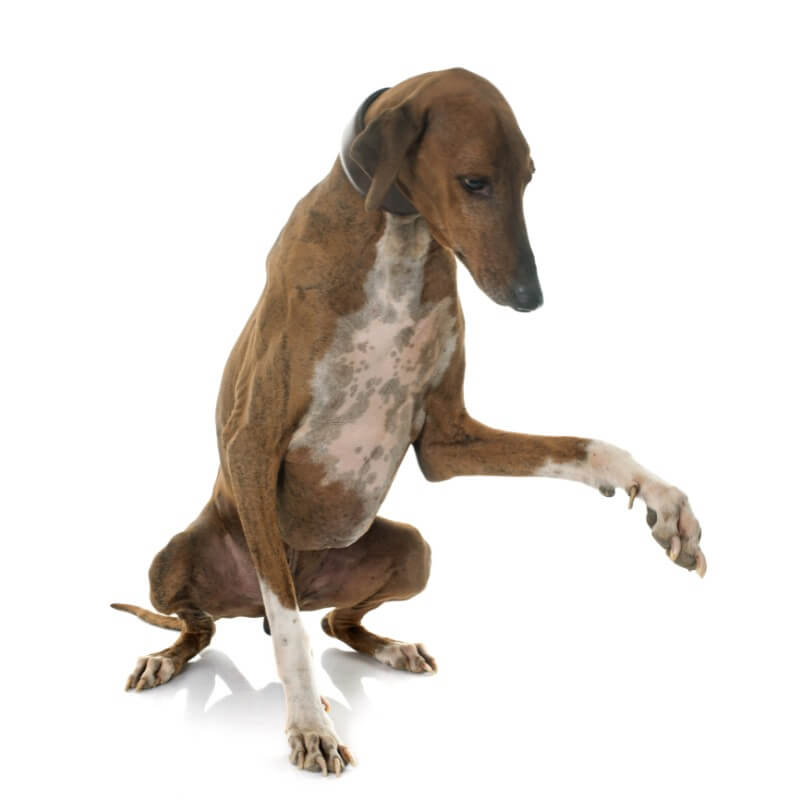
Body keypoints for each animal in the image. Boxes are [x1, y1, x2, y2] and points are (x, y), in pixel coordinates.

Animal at [114, 69, 708, 776]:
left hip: (412, 551)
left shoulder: (448, 442)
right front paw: (308, 723)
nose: (531, 298)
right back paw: (163, 661)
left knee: (334, 622)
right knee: (207, 625)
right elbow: (288, 630)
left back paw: (392, 648)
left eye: (530, 178)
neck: (397, 239)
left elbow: (582, 445)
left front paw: (663, 500)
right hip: (177, 558)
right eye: (475, 181)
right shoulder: (251, 446)